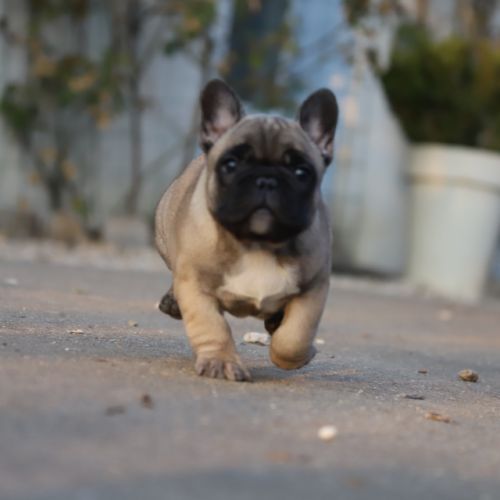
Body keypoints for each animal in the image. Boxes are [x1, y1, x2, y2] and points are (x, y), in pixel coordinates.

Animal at [155, 79, 338, 381]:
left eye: (301, 172)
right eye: (231, 164)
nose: (266, 180)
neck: (257, 243)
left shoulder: (314, 287)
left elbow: (295, 337)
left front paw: (298, 354)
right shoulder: (196, 287)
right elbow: (211, 326)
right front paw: (220, 362)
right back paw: (172, 301)